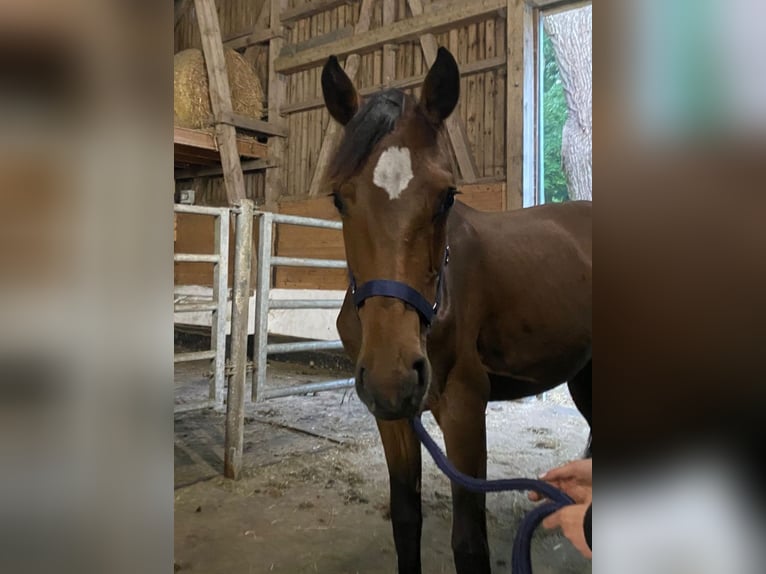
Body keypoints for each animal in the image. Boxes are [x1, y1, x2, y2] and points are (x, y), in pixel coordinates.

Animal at [320, 47, 592, 574]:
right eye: (340, 198)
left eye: (447, 196)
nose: (393, 373)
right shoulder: (393, 416)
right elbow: (406, 519)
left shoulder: (465, 407)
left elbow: (469, 543)